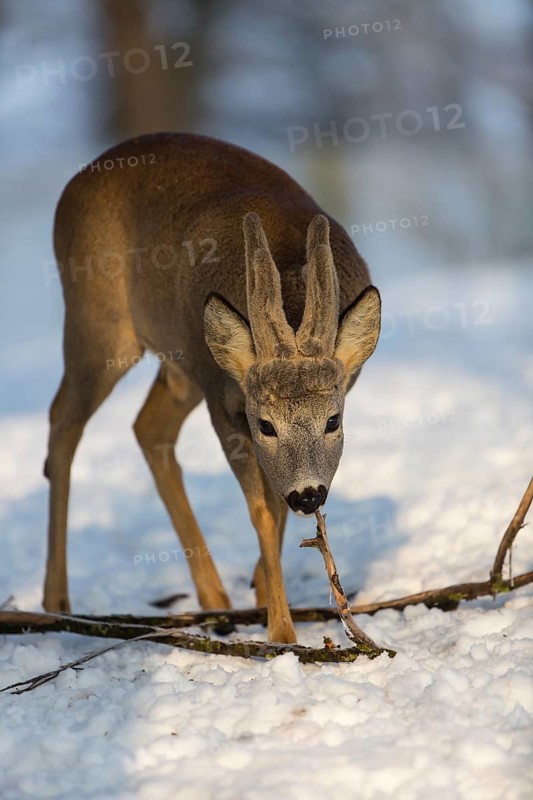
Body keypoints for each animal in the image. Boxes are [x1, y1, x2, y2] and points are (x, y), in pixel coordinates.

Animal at [43, 132, 381, 644]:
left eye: (333, 420)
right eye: (266, 424)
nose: (309, 494)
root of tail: (75, 181)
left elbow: (274, 505)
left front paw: (261, 587)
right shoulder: (224, 404)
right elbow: (262, 510)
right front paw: (282, 632)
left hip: (180, 365)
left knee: (147, 426)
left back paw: (215, 596)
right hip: (99, 322)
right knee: (63, 421)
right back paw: (56, 601)